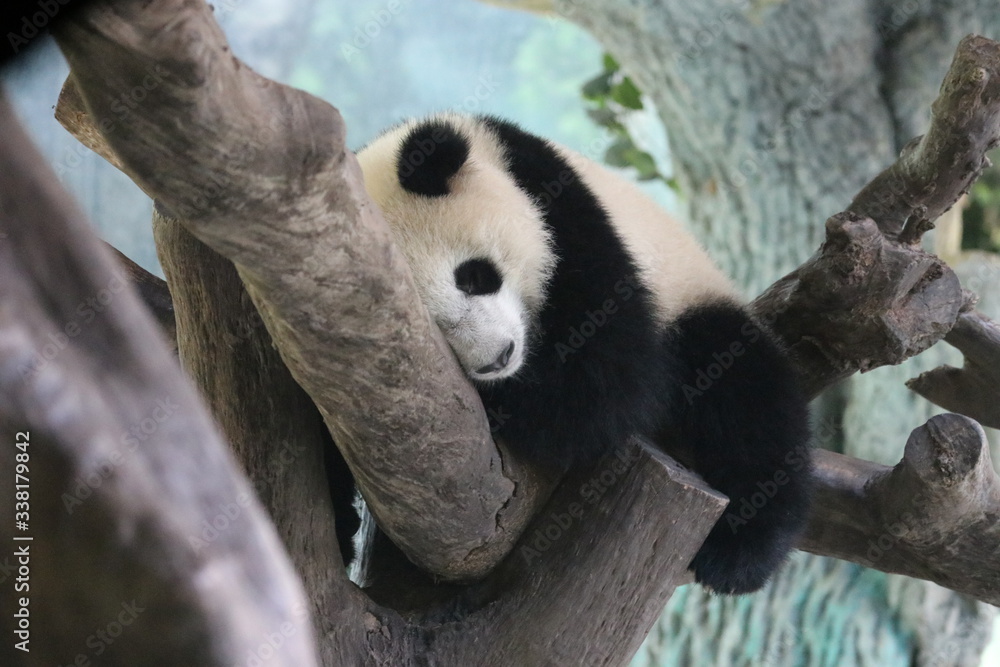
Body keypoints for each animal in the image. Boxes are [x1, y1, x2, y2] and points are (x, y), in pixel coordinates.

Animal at [347, 112, 813, 595]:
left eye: (473, 276)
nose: (497, 358)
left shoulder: (570, 216)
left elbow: (606, 389)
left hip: (692, 299)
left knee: (748, 402)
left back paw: (740, 552)